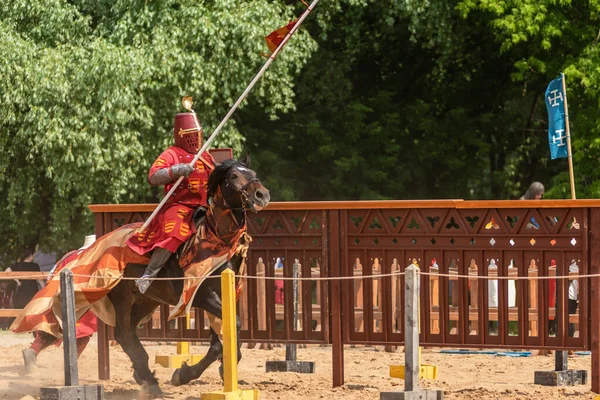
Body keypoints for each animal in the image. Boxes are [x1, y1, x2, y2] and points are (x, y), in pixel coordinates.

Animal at [106, 159, 268, 394]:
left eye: (253, 173)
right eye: (234, 176)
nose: (261, 194)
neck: (217, 240)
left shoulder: (225, 297)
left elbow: (220, 339)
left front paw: (221, 366)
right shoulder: (203, 296)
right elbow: (232, 328)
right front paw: (183, 375)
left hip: (147, 301)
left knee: (127, 333)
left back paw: (144, 376)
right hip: (123, 298)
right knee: (123, 332)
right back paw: (150, 381)